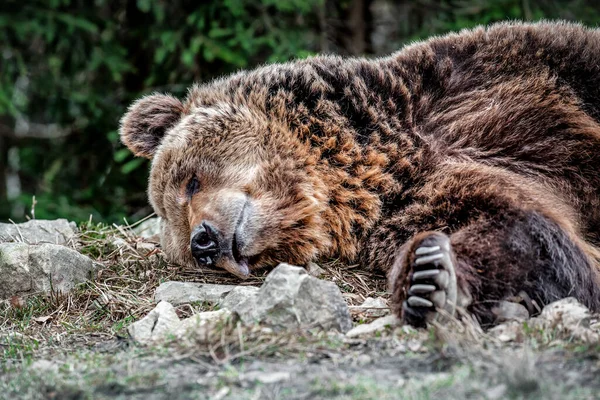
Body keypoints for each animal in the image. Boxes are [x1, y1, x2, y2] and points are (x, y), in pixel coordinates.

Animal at [119, 21, 600, 328]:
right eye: (178, 233)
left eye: (190, 182)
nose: (203, 243)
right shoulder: (412, 202)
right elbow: (516, 223)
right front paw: (428, 280)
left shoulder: (496, 77)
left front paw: (429, 277)